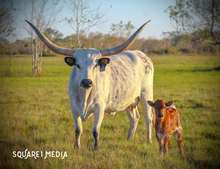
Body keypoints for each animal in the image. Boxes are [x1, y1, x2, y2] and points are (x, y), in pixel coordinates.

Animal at [26, 19, 155, 149]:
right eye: (77, 65)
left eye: (95, 65)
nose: (86, 81)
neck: (85, 95)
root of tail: (141, 54)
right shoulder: (73, 108)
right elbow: (78, 129)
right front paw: (77, 147)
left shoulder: (100, 108)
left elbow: (95, 131)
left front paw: (95, 148)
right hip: (129, 101)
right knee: (134, 118)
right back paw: (129, 139)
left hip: (146, 94)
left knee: (148, 117)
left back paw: (149, 141)